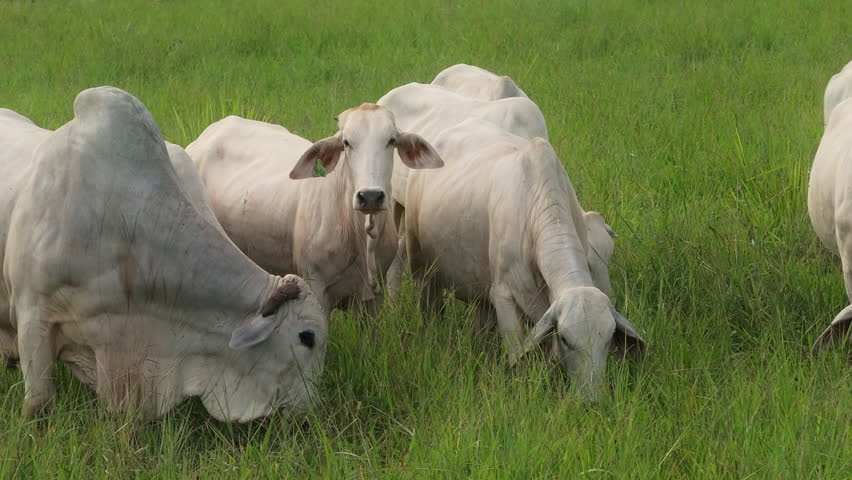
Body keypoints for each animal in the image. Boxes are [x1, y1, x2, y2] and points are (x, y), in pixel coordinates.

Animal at [402, 119, 645, 401]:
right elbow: (516, 355)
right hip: (421, 269)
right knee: (430, 308)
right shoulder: (503, 296)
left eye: (607, 339)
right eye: (566, 339)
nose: (590, 400)